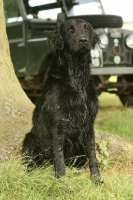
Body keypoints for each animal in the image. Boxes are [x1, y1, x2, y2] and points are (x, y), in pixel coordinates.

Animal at [22, 19, 102, 184]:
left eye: (86, 29)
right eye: (70, 30)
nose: (83, 40)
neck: (76, 77)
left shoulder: (89, 123)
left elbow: (92, 154)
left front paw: (96, 179)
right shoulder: (58, 122)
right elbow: (59, 156)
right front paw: (62, 180)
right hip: (29, 139)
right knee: (31, 163)